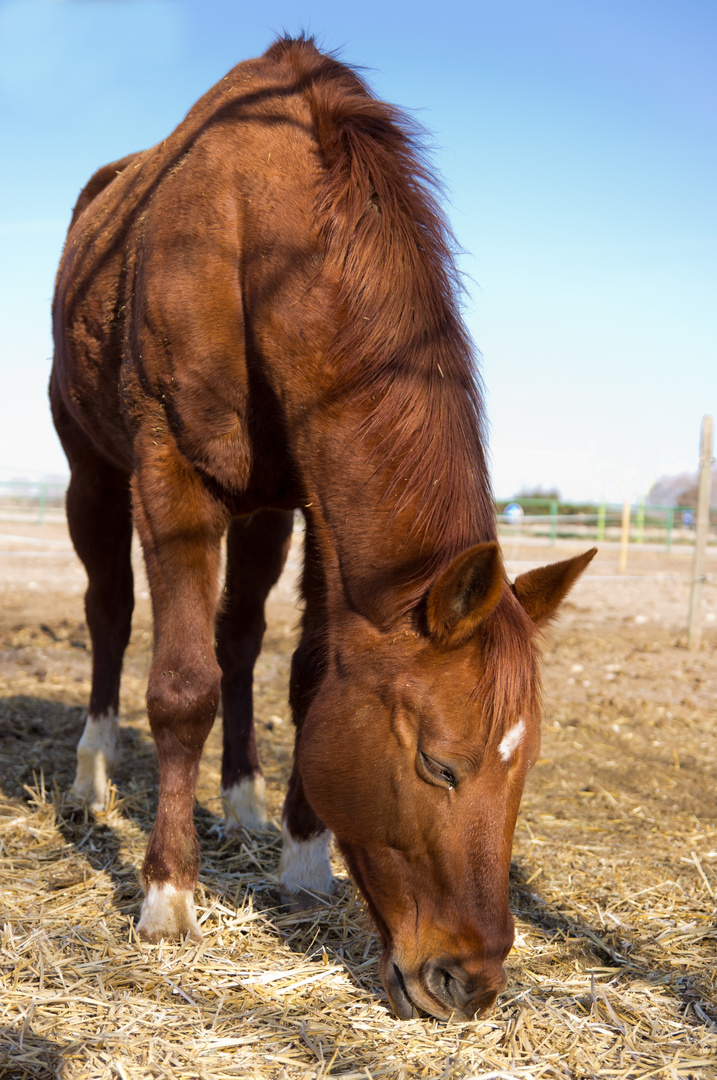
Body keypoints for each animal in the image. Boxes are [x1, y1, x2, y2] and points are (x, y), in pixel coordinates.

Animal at [50, 38, 596, 1019]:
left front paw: (302, 864)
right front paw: (166, 895)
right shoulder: (171, 476)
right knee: (110, 612)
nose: (468, 982)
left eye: (527, 765)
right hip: (92, 472)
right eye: (437, 765)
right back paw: (92, 775)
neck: (260, 235)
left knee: (238, 636)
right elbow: (179, 687)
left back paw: (243, 805)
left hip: (261, 511)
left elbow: (306, 681)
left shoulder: (308, 501)